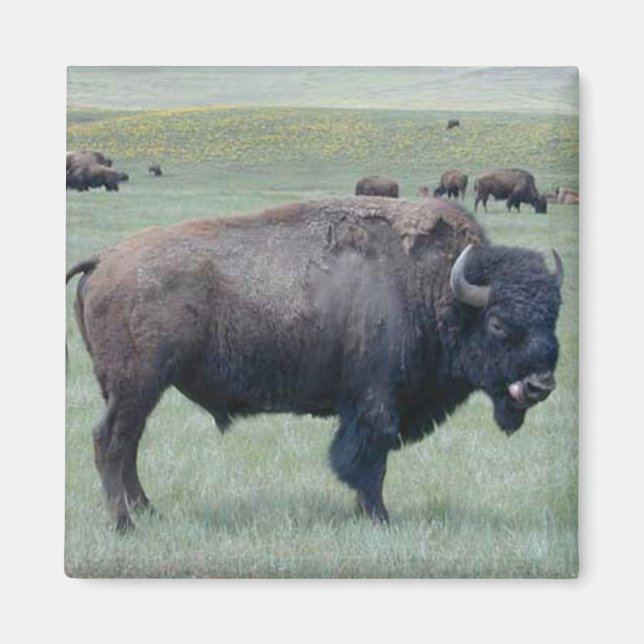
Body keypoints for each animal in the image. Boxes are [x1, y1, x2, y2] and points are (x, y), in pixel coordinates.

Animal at [66, 197, 563, 531]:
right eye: (497, 322)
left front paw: (369, 515)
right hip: (137, 385)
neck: (438, 289)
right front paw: (380, 518)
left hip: (135, 390)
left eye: (554, 314)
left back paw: (148, 511)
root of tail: (105, 258)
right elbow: (369, 460)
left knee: (129, 443)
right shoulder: (374, 403)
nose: (540, 384)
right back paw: (124, 524)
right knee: (110, 440)